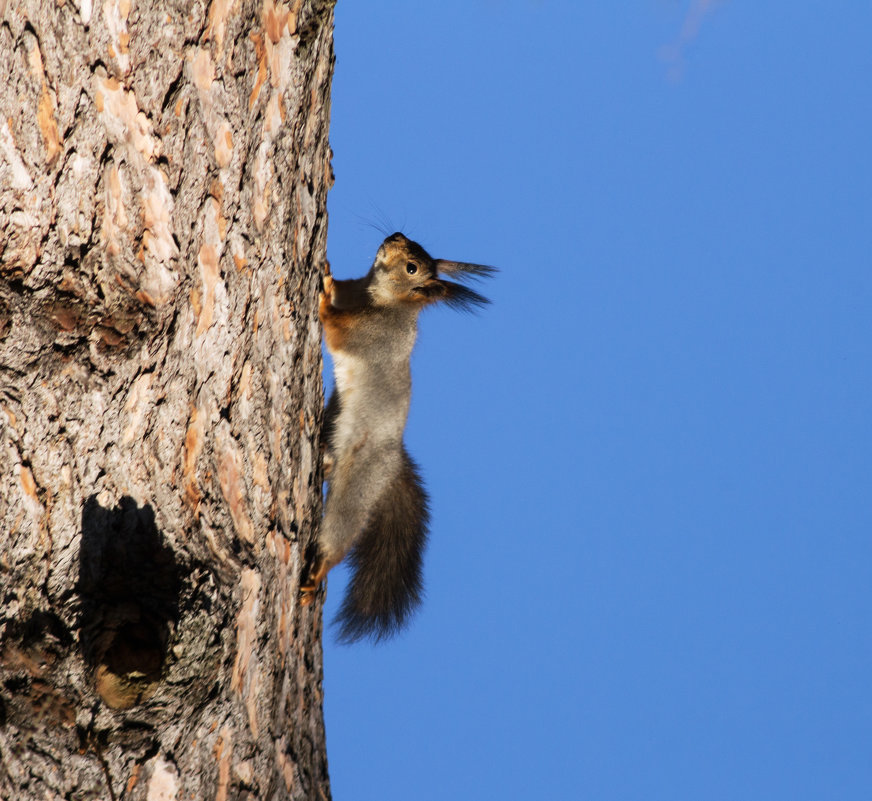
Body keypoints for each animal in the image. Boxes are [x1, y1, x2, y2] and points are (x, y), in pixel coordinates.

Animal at [300, 233, 494, 644]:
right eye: (413, 243)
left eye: (412, 268)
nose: (395, 237)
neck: (381, 297)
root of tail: (392, 461)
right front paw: (329, 274)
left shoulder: (374, 337)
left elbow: (338, 329)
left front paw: (323, 296)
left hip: (361, 479)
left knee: (342, 530)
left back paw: (317, 572)